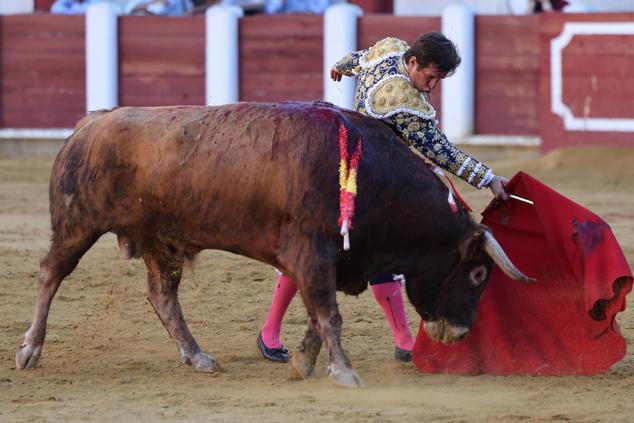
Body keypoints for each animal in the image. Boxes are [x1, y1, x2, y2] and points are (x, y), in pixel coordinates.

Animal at [14, 102, 532, 388]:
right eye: (478, 273)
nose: (459, 333)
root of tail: (90, 124)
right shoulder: (311, 250)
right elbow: (328, 313)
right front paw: (345, 373)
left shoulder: (331, 258)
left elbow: (318, 314)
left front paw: (303, 362)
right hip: (78, 224)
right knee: (50, 273)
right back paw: (29, 351)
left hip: (161, 241)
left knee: (162, 296)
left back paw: (199, 357)